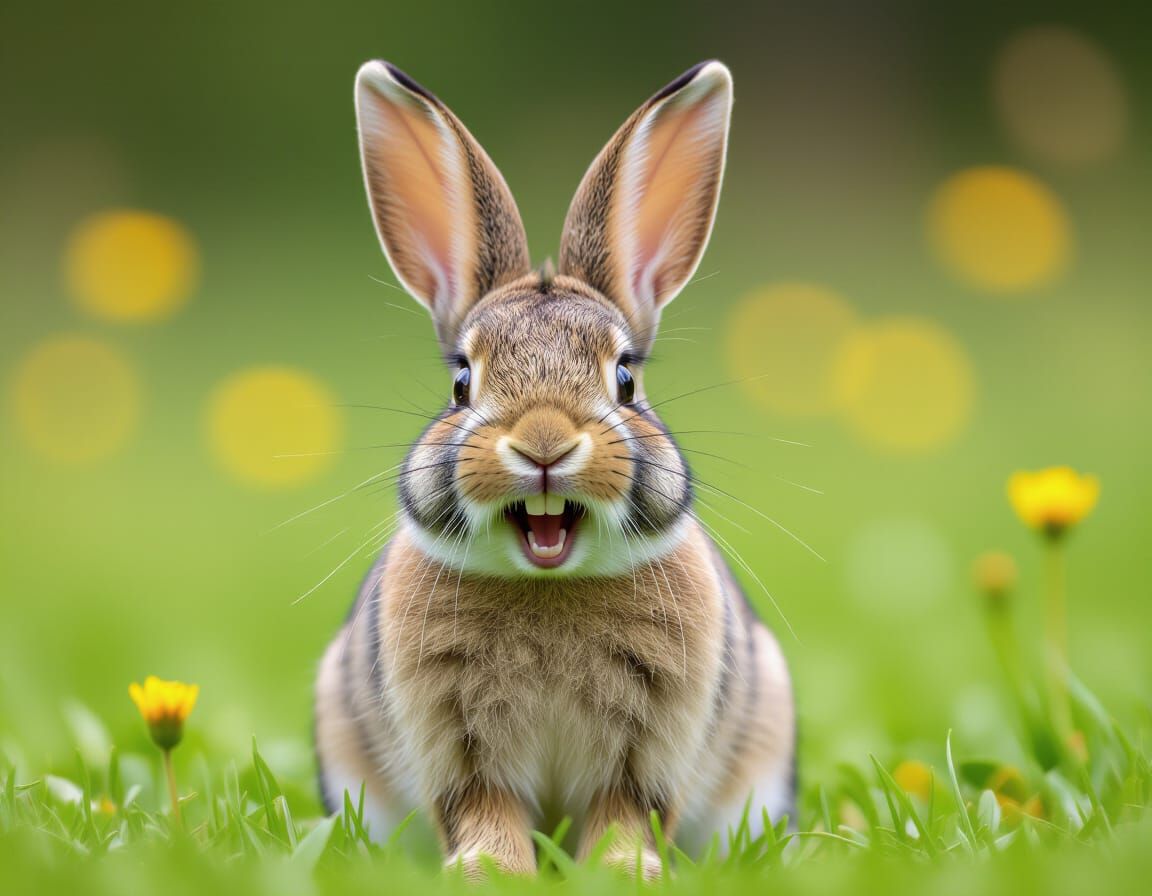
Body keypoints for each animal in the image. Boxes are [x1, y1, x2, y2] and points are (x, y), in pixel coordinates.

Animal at [314, 59, 796, 878]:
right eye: (462, 382)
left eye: (626, 378)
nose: (544, 441)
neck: (549, 586)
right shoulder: (461, 753)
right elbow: (485, 811)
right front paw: (489, 872)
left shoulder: (646, 756)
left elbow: (627, 813)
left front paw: (623, 873)